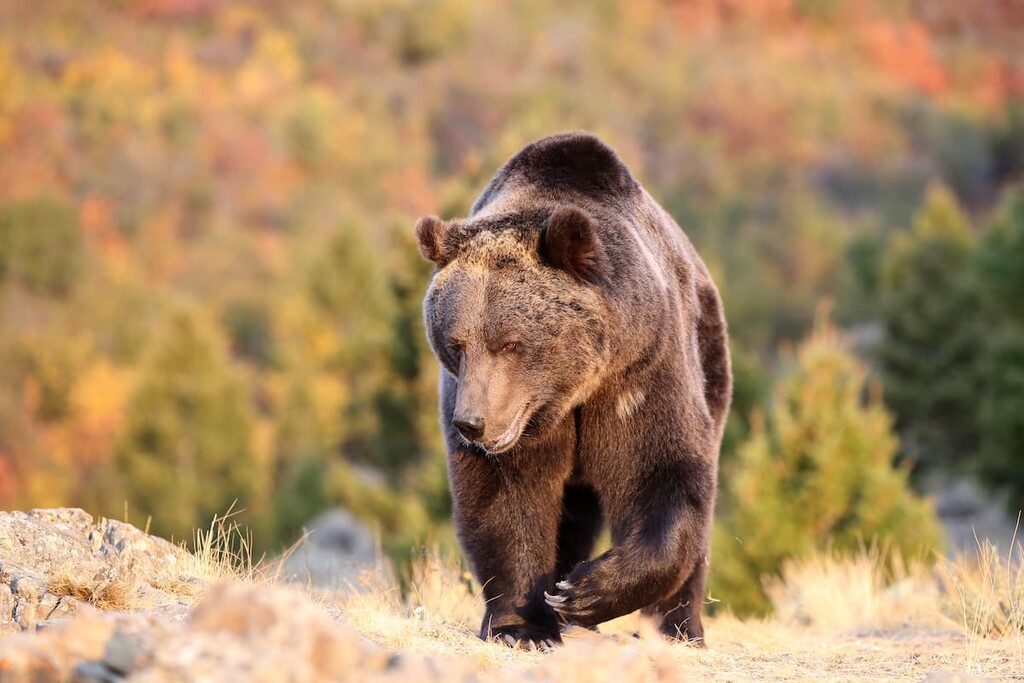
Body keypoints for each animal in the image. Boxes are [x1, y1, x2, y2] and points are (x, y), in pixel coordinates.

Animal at [415, 132, 731, 650]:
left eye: (510, 342)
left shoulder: (640, 371)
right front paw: (522, 625)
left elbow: (662, 469)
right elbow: (507, 496)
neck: (572, 389)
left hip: (710, 361)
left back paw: (680, 626)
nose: (472, 423)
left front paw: (586, 591)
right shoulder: (522, 423)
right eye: (455, 343)